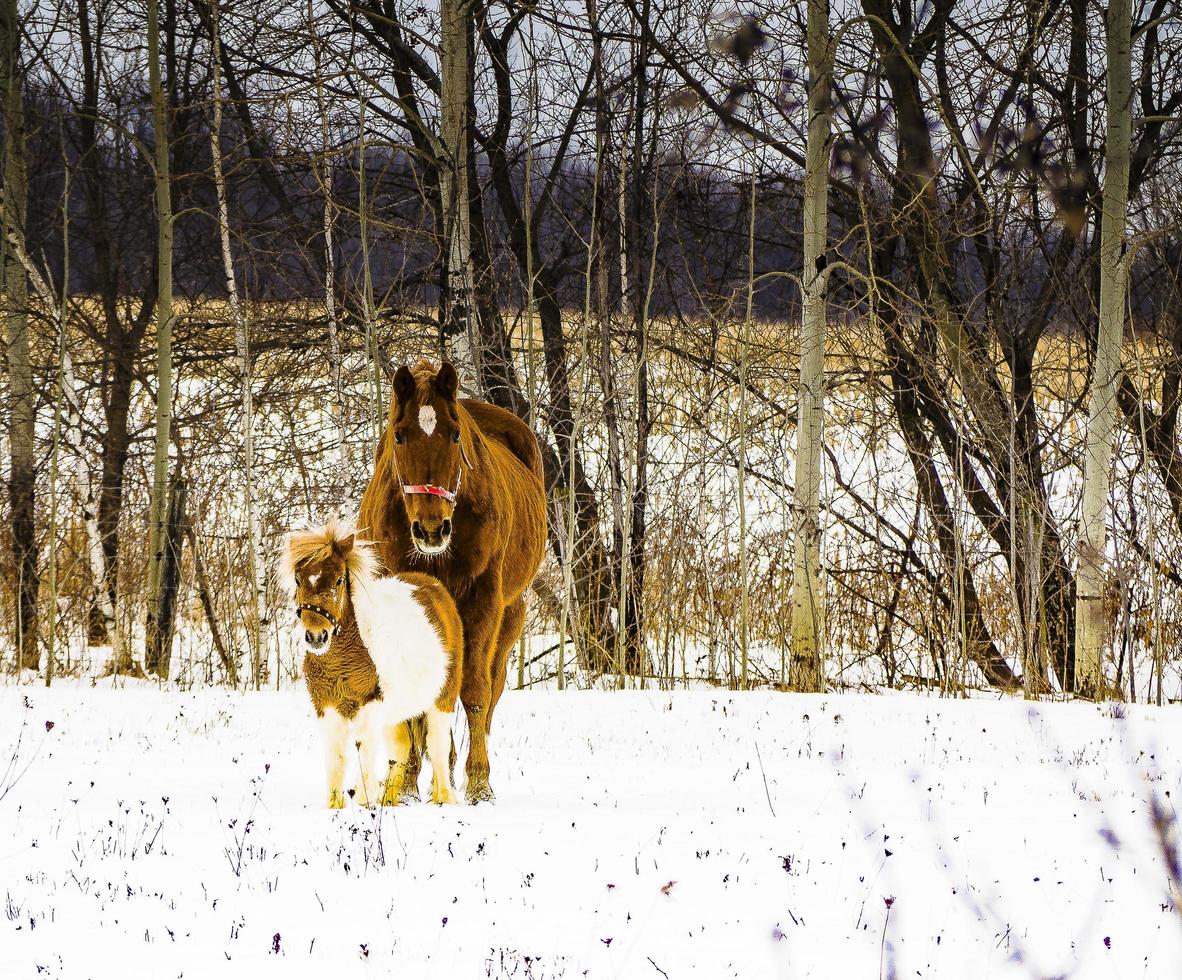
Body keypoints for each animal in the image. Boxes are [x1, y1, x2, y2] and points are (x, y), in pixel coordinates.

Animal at [280, 515, 460, 808]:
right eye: (298, 579)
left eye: (340, 579)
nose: (317, 637)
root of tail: (434, 589)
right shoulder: (326, 708)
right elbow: (336, 759)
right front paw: (336, 806)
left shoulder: (369, 706)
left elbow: (364, 751)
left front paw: (365, 801)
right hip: (396, 713)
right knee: (401, 749)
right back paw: (389, 799)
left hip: (441, 700)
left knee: (437, 747)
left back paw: (444, 798)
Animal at [356, 359, 546, 803]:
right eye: (399, 434)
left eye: (455, 434)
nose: (431, 529)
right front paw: (406, 783)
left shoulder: (482, 602)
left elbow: (475, 691)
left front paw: (478, 783)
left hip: (509, 617)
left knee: (489, 689)